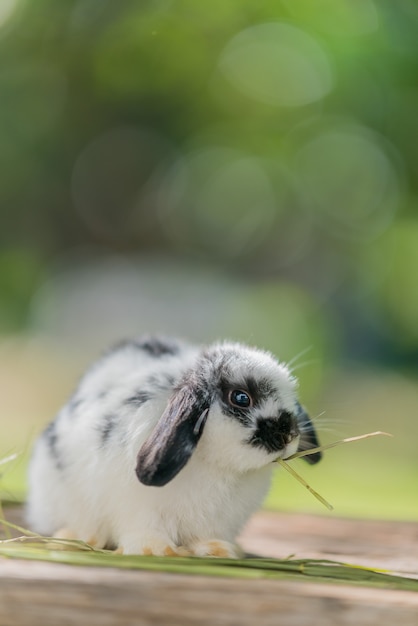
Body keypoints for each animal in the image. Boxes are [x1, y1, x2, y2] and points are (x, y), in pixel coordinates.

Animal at [26, 336, 322, 556]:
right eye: (241, 398)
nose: (289, 435)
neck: (217, 466)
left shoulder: (214, 521)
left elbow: (205, 537)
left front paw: (218, 550)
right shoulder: (137, 508)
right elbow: (144, 530)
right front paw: (154, 550)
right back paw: (78, 537)